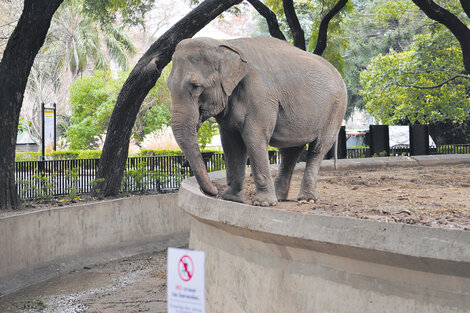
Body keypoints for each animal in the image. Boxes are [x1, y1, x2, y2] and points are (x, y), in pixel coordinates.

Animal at [167, 36, 346, 206]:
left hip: (335, 109)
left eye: (196, 86)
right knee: (290, 151)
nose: (214, 192)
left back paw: (306, 199)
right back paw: (279, 197)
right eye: (168, 87)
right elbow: (231, 143)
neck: (228, 45)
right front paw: (230, 198)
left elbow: (253, 136)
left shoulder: (261, 95)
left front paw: (263, 203)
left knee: (318, 148)